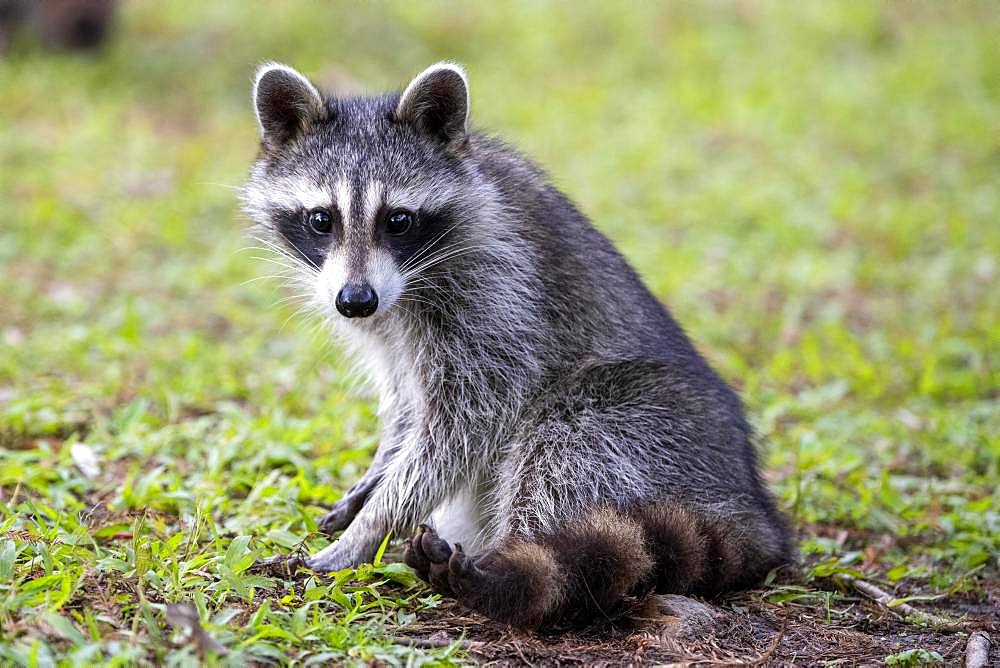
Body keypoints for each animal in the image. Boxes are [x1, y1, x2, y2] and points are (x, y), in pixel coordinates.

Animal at [240, 60, 788, 628]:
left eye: (399, 220)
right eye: (321, 219)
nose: (354, 301)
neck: (407, 286)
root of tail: (755, 513)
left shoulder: (499, 294)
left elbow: (465, 424)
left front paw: (370, 527)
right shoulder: (390, 327)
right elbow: (406, 404)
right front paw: (377, 473)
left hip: (647, 423)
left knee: (562, 451)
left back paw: (509, 580)